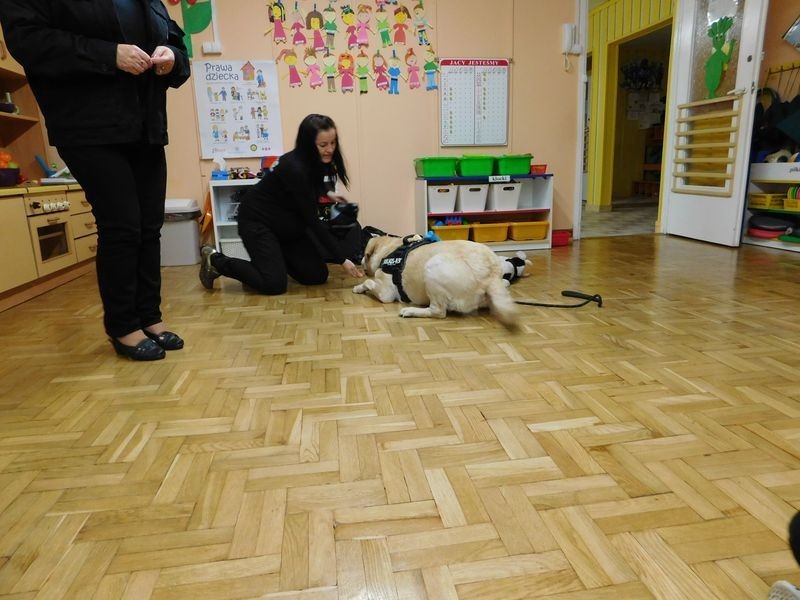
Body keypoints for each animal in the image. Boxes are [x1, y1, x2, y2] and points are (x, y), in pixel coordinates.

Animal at [353, 235, 519, 329]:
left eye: (364, 254)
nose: (360, 261)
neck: (391, 248)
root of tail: (490, 273)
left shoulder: (385, 293)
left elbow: (369, 282)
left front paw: (359, 287)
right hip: (500, 283)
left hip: (433, 266)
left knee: (438, 311)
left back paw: (410, 311)